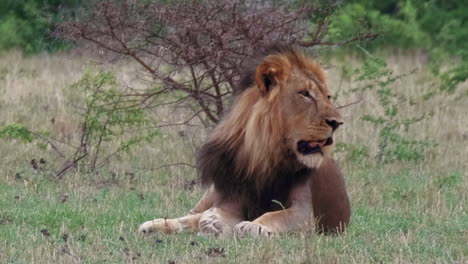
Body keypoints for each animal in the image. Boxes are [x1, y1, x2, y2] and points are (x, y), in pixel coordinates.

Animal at [139, 44, 352, 237]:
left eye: (328, 96)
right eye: (305, 94)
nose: (337, 123)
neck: (265, 157)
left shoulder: (305, 213)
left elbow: (276, 215)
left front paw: (253, 226)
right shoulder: (230, 199)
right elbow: (212, 214)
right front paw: (213, 223)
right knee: (190, 215)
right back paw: (153, 226)